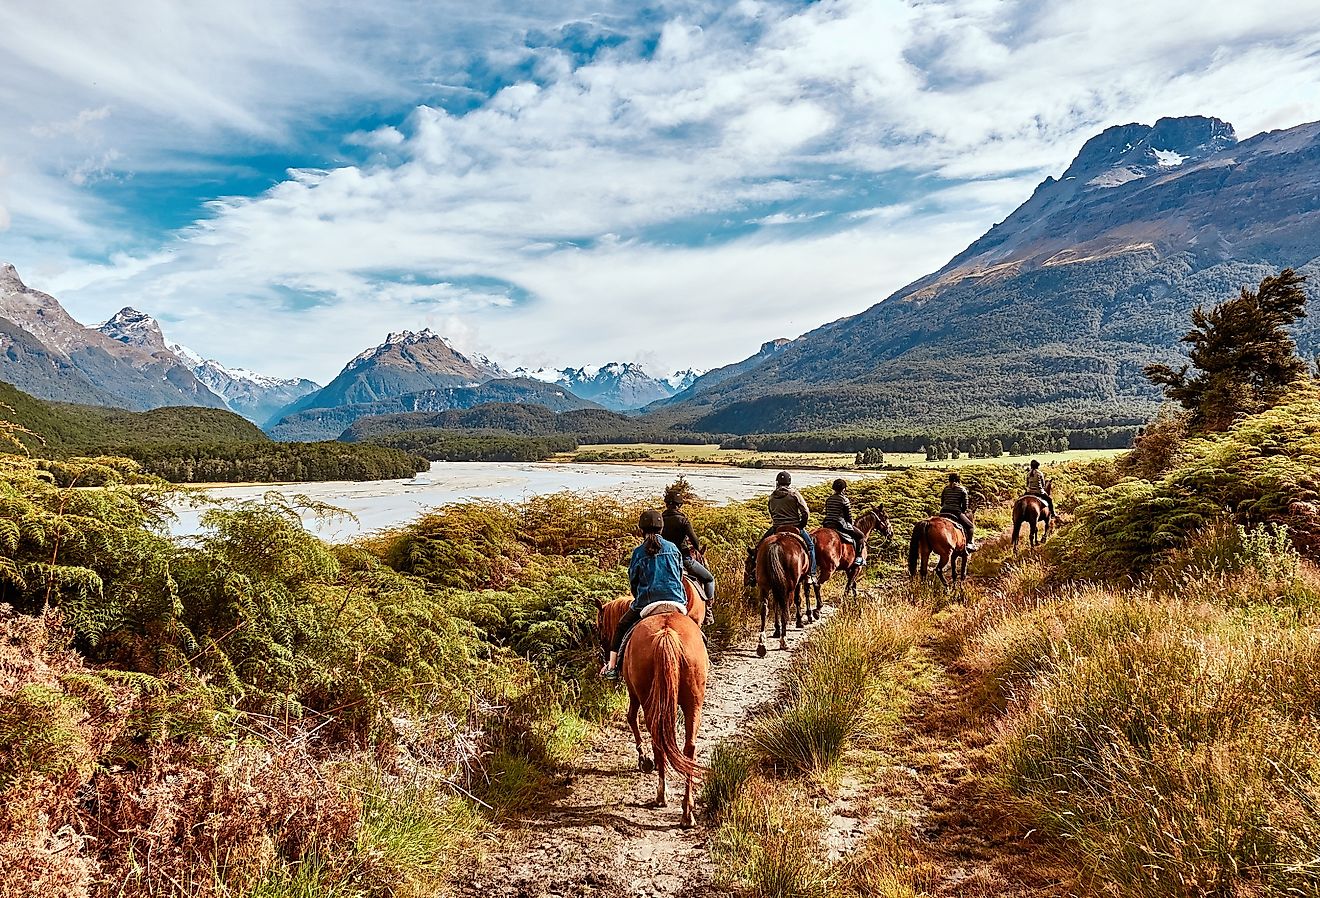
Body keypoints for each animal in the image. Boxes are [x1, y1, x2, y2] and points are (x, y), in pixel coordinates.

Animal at [620, 610, 707, 829]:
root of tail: (667, 634)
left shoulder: (633, 694)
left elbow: (631, 718)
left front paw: (644, 760)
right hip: (694, 702)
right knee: (689, 748)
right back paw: (687, 813)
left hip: (648, 700)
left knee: (658, 740)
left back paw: (661, 796)